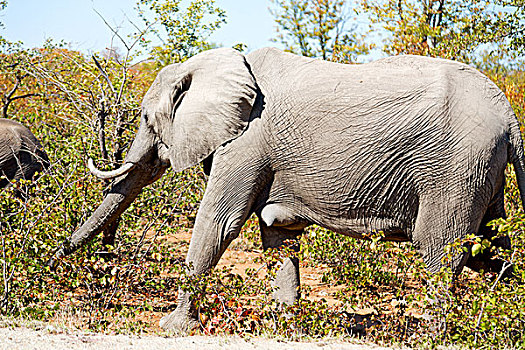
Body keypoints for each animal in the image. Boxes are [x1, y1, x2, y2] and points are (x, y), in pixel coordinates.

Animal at [50, 47, 524, 330]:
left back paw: (432, 333)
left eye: (148, 119)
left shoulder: (247, 143)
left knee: (441, 249)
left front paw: (173, 328)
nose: (52, 262)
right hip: (481, 171)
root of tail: (510, 117)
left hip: (457, 170)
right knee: (491, 251)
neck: (213, 63)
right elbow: (278, 234)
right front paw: (286, 325)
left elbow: (218, 224)